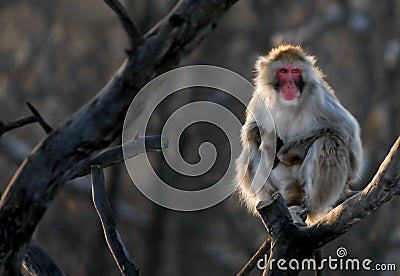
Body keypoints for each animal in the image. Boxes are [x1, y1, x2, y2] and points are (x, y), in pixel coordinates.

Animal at [236, 43, 364, 224]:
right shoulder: (260, 97)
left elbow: (347, 136)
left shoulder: (318, 96)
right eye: (283, 71)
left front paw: (285, 152)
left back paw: (308, 206)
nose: (290, 85)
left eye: (295, 71)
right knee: (251, 147)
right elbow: (250, 130)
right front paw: (270, 140)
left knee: (329, 141)